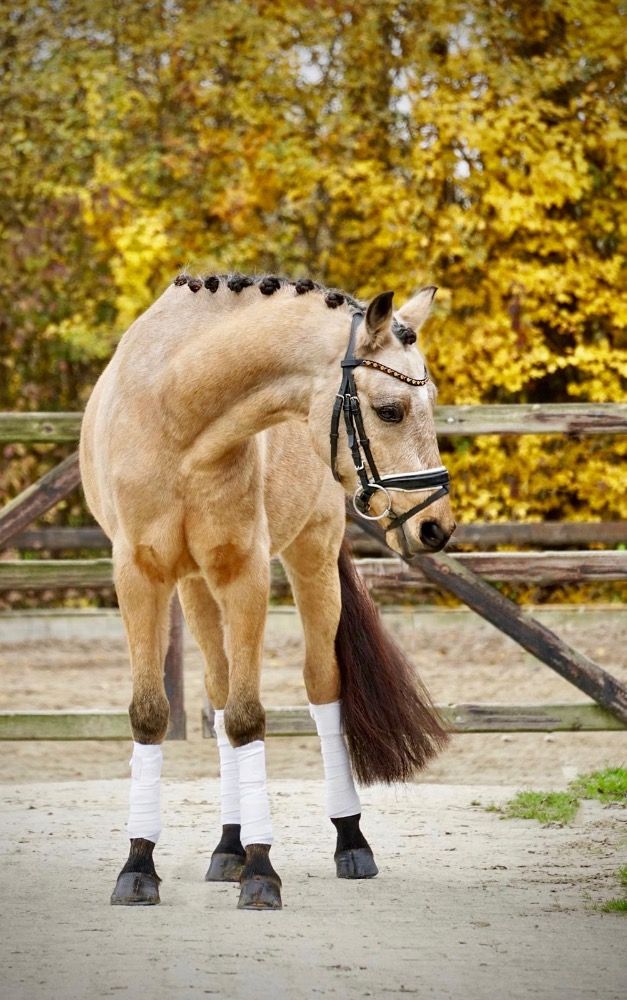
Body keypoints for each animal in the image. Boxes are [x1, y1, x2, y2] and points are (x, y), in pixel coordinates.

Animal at [79, 272, 456, 911]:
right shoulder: (140, 574)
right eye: (390, 410)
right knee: (219, 690)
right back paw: (228, 845)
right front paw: (139, 865)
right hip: (195, 588)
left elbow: (249, 718)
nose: (436, 527)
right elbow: (155, 714)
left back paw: (349, 841)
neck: (178, 416)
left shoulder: (245, 573)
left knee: (322, 687)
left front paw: (261, 871)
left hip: (311, 557)